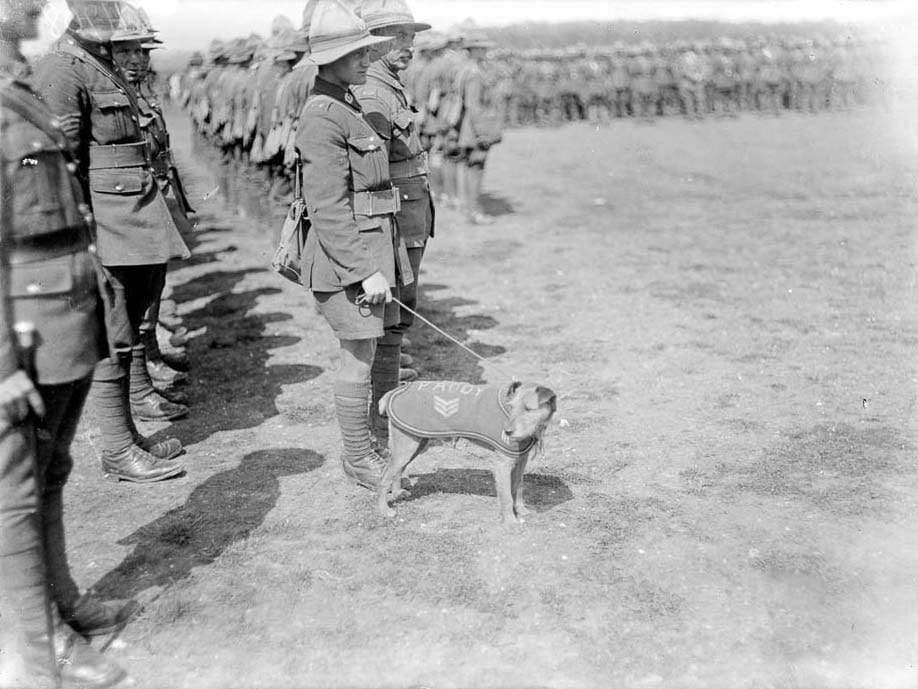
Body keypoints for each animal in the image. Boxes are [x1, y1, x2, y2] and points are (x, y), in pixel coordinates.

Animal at [376, 382, 560, 520]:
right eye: (511, 407)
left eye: (528, 409)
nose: (507, 432)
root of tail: (396, 390)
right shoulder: (502, 464)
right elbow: (507, 496)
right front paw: (510, 521)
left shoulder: (520, 461)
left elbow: (518, 488)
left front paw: (521, 510)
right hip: (406, 448)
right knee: (384, 477)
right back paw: (384, 510)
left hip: (415, 445)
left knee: (398, 471)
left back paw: (398, 492)